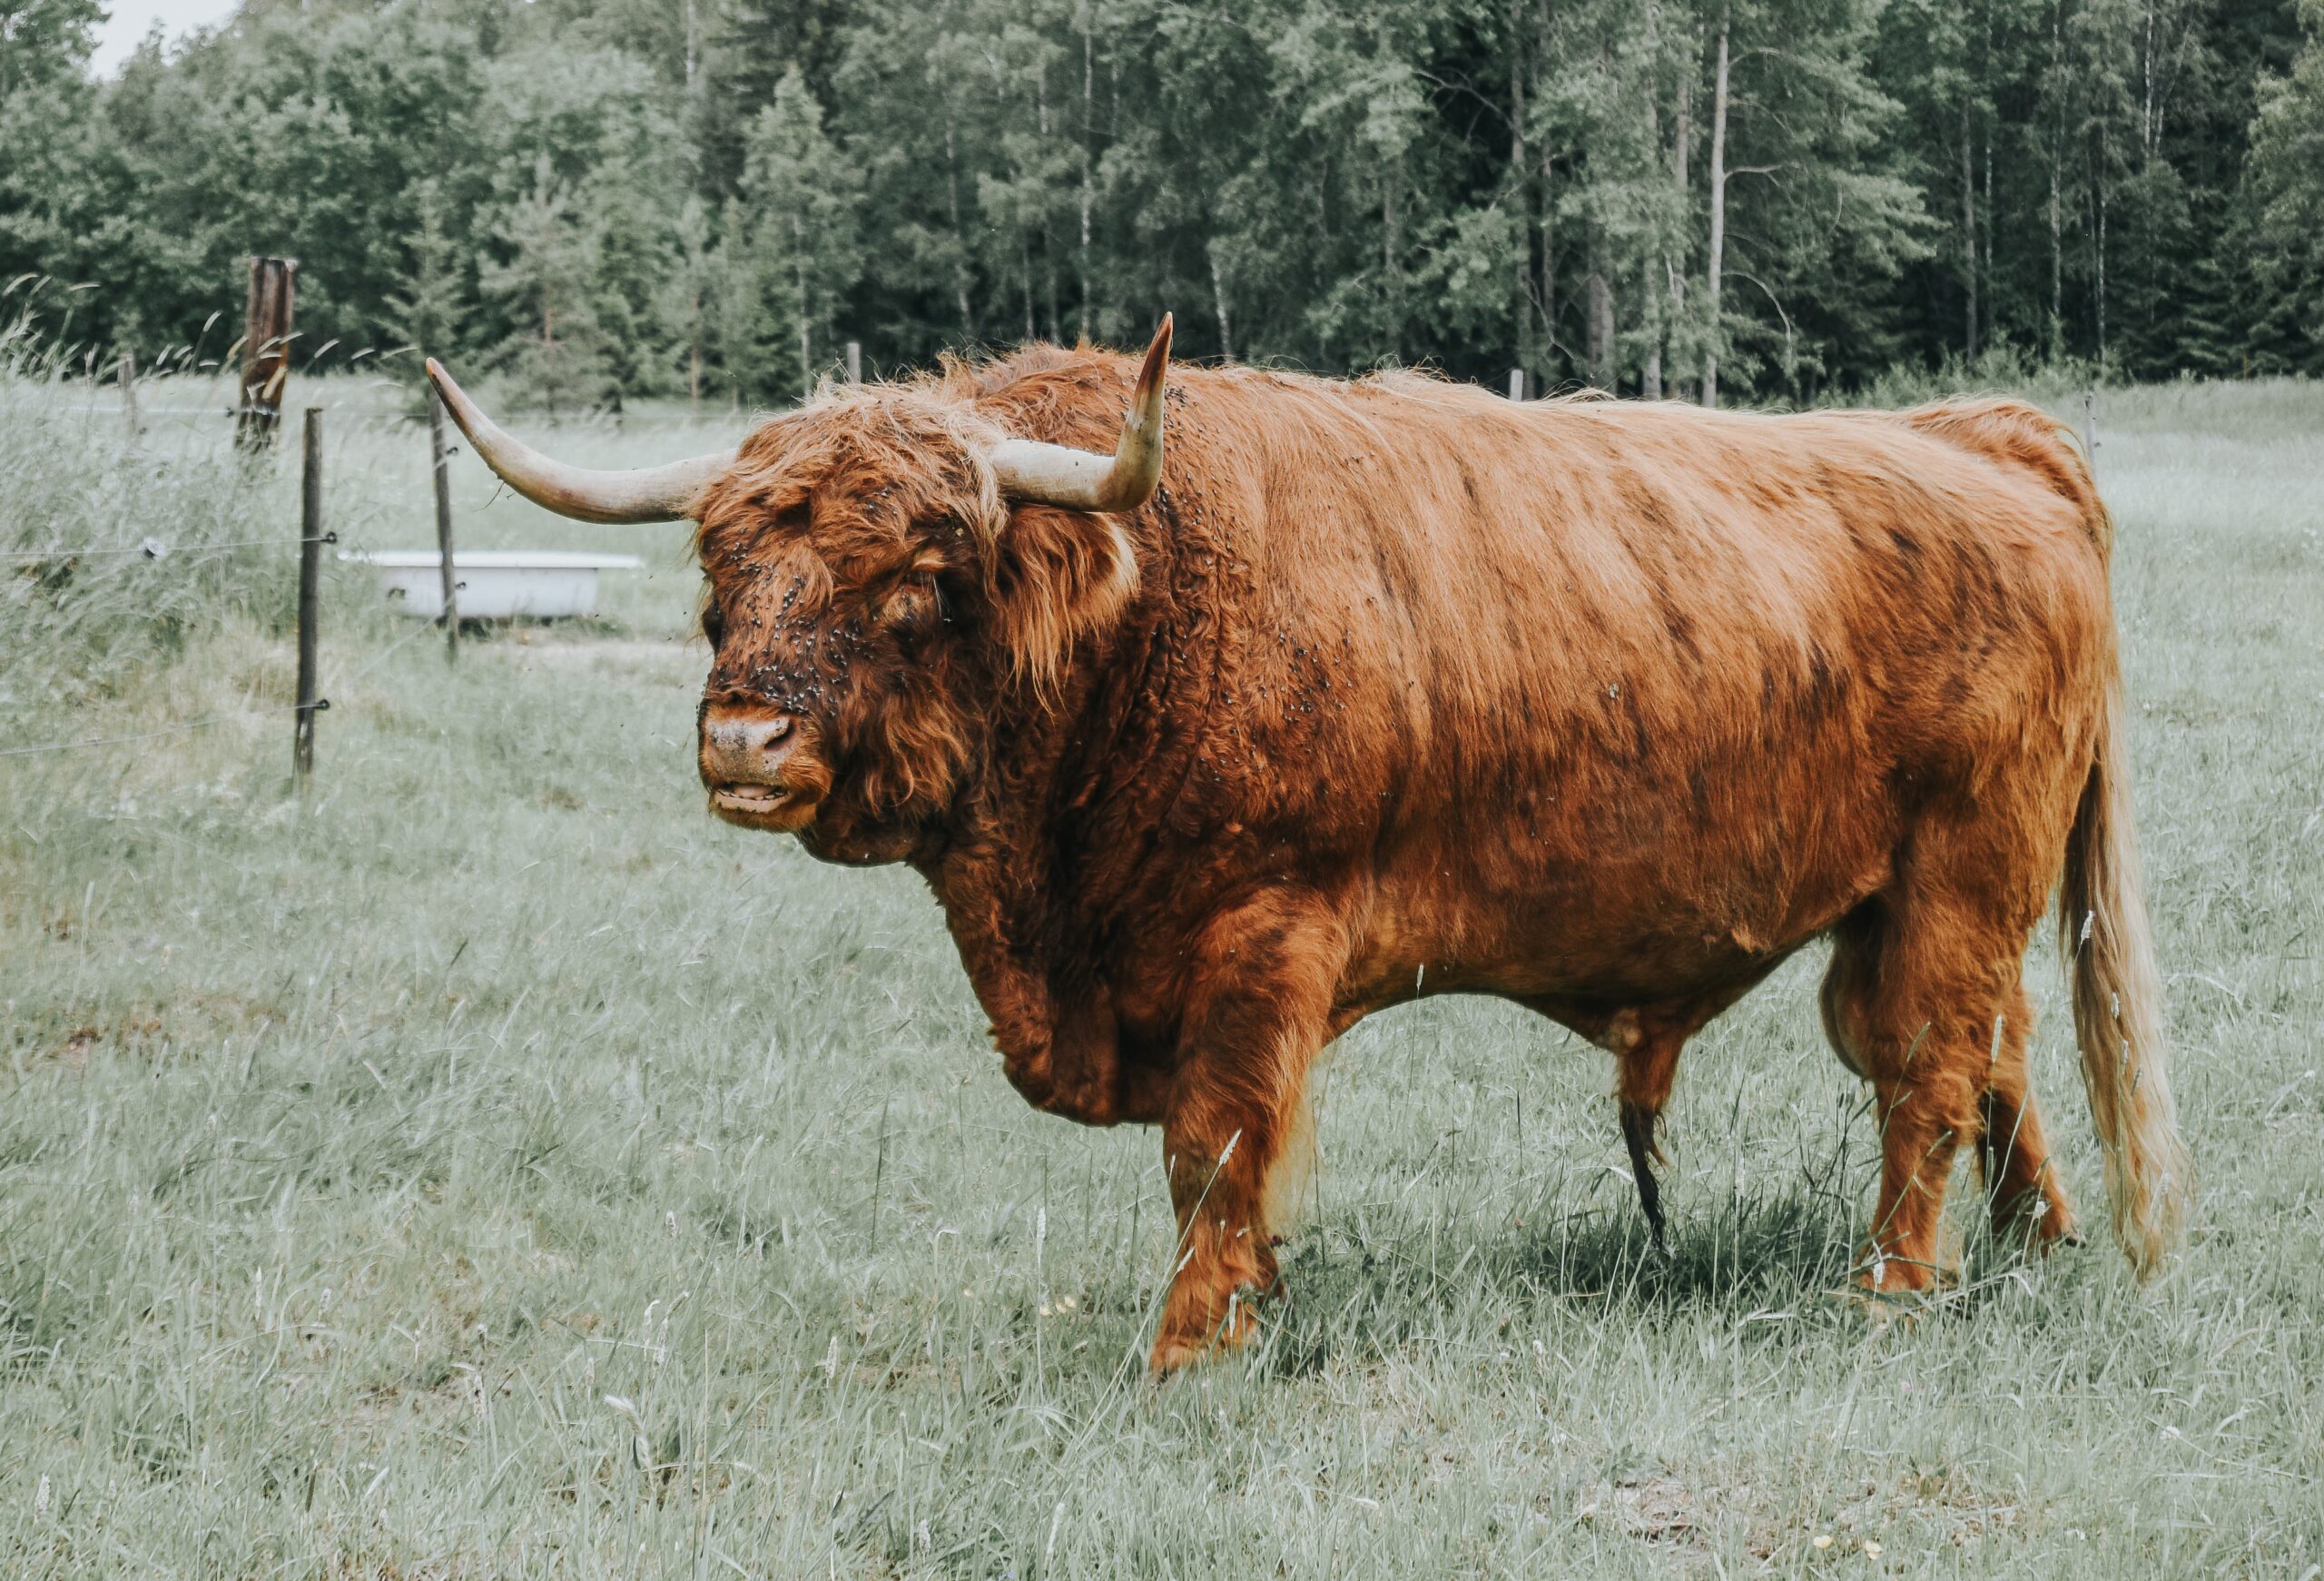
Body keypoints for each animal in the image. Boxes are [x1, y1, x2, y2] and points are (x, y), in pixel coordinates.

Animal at [428, 322, 2184, 1367]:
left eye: (917, 579)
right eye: (722, 573)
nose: (744, 743)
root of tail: (1980, 438)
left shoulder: (1256, 939)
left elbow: (1213, 1150)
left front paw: (1193, 1341)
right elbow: (1208, 1164)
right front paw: (1248, 1305)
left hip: (1961, 868)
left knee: (1930, 1071)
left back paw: (1896, 1287)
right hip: (1903, 898)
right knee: (1993, 1050)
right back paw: (2036, 1242)